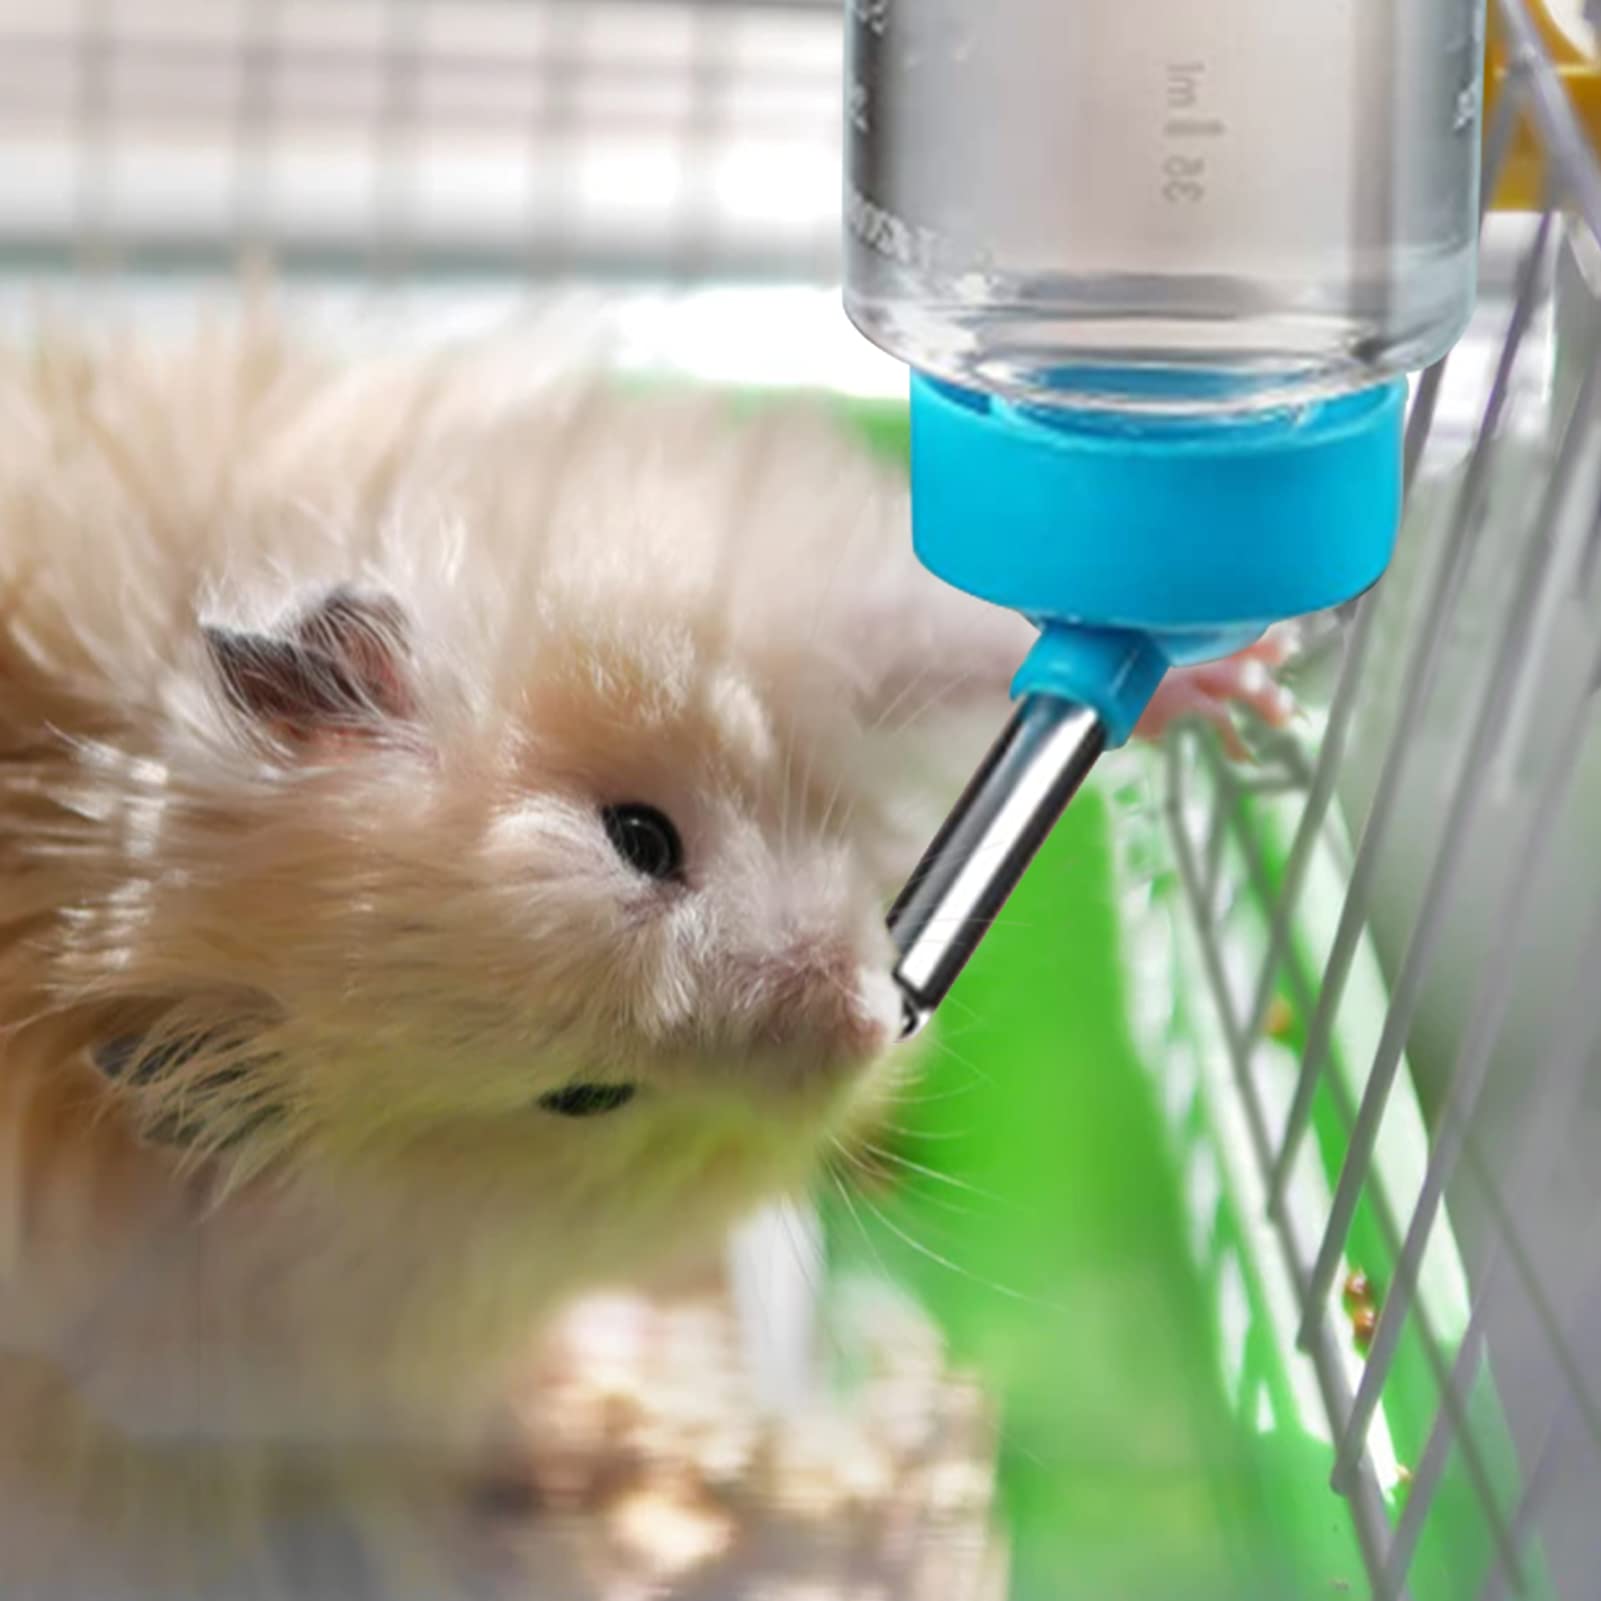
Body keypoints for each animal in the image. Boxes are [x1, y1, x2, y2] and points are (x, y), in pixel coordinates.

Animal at [0, 314, 1291, 1461]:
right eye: (584, 1096)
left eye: (640, 834)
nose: (875, 1018)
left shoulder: (782, 588)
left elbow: (958, 634)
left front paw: (1242, 678)